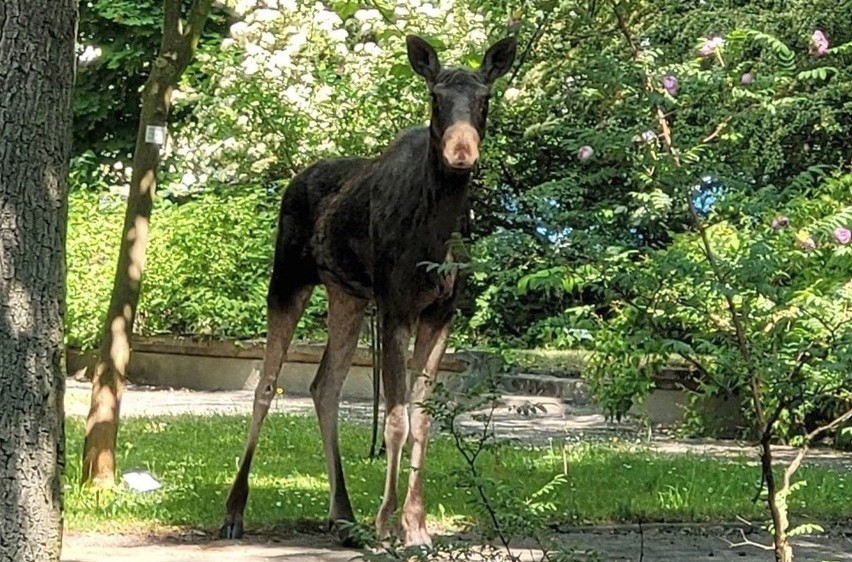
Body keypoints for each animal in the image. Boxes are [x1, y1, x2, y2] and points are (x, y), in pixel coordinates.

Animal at [220, 32, 516, 544]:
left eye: (485, 98)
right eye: (435, 97)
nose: (461, 153)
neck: (438, 229)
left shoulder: (441, 312)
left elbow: (423, 417)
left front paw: (416, 524)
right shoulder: (396, 305)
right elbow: (395, 419)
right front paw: (386, 522)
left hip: (348, 296)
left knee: (324, 385)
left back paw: (342, 513)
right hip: (287, 280)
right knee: (267, 386)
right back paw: (235, 510)